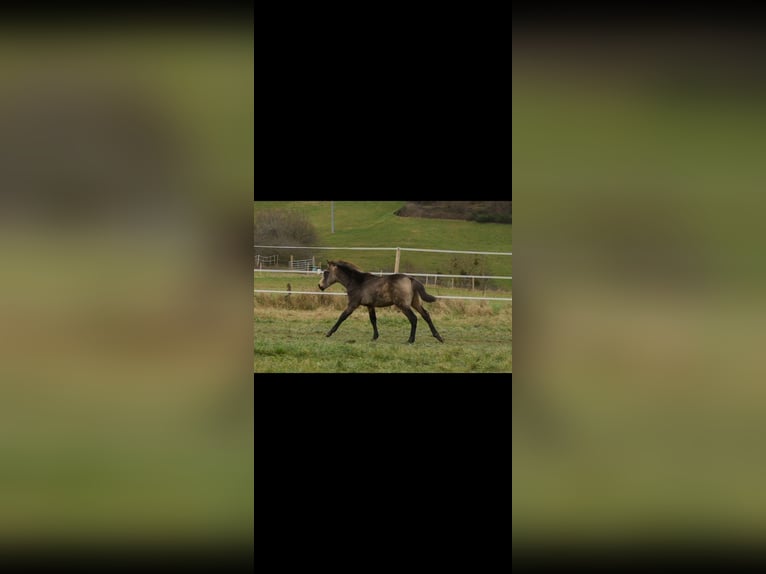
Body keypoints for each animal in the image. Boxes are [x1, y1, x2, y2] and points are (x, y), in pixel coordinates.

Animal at [318, 262, 448, 346]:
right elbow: (373, 320)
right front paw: (375, 337)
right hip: (415, 303)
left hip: (403, 305)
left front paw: (329, 333)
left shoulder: (353, 304)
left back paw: (410, 340)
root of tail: (410, 279)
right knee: (426, 315)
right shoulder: (370, 306)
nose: (320, 286)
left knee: (414, 318)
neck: (357, 282)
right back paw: (438, 337)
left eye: (326, 272)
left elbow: (342, 317)